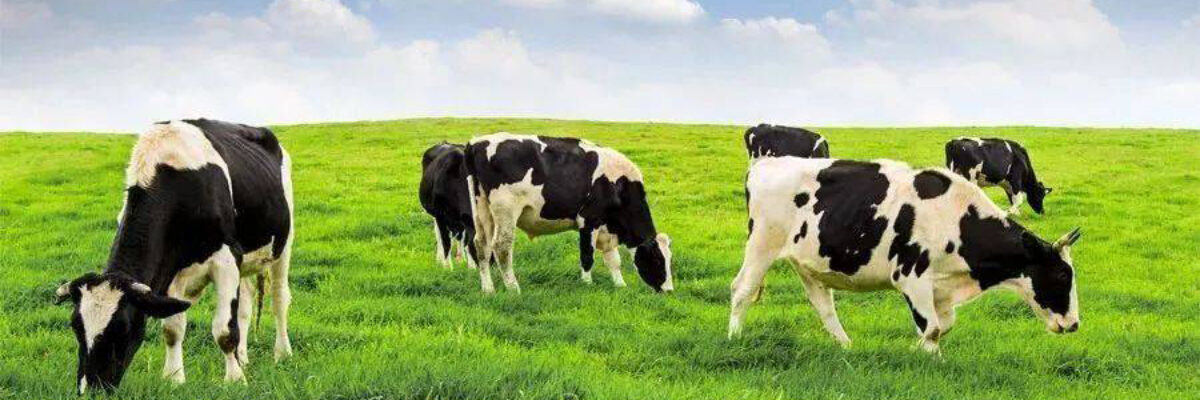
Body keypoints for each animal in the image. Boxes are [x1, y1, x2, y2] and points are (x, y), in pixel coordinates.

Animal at [54, 119, 294, 394]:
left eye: (123, 327)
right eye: (76, 326)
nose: (91, 388)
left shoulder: (226, 258)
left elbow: (224, 330)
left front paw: (234, 381)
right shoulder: (171, 270)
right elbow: (172, 329)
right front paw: (174, 378)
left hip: (284, 243)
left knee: (279, 299)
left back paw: (282, 353)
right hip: (245, 261)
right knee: (245, 304)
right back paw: (243, 358)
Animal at [463, 133, 673, 294]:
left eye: (670, 259)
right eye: (657, 258)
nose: (669, 291)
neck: (619, 186)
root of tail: (477, 142)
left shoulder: (607, 228)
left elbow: (614, 260)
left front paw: (620, 285)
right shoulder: (589, 220)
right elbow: (587, 255)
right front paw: (587, 284)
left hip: (481, 208)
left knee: (481, 244)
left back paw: (488, 289)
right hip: (506, 209)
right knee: (501, 246)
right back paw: (513, 288)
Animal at [729, 157, 1081, 354]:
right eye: (1063, 274)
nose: (1075, 324)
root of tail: (762, 166)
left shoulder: (941, 288)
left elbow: (942, 325)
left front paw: (918, 350)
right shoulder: (912, 276)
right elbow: (933, 327)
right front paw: (929, 358)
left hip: (809, 262)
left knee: (823, 305)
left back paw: (846, 346)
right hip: (762, 243)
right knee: (742, 289)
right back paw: (735, 337)